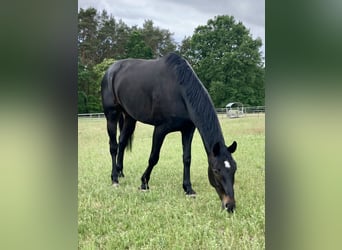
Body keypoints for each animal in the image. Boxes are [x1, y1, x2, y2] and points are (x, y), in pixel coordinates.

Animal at [101, 52, 238, 213]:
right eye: (216, 170)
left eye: (234, 169)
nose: (230, 205)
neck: (179, 90)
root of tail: (111, 70)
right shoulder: (160, 129)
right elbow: (153, 157)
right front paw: (144, 183)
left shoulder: (188, 130)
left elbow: (187, 158)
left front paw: (188, 189)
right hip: (111, 114)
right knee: (113, 146)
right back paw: (114, 179)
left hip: (129, 117)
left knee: (122, 142)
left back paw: (120, 172)